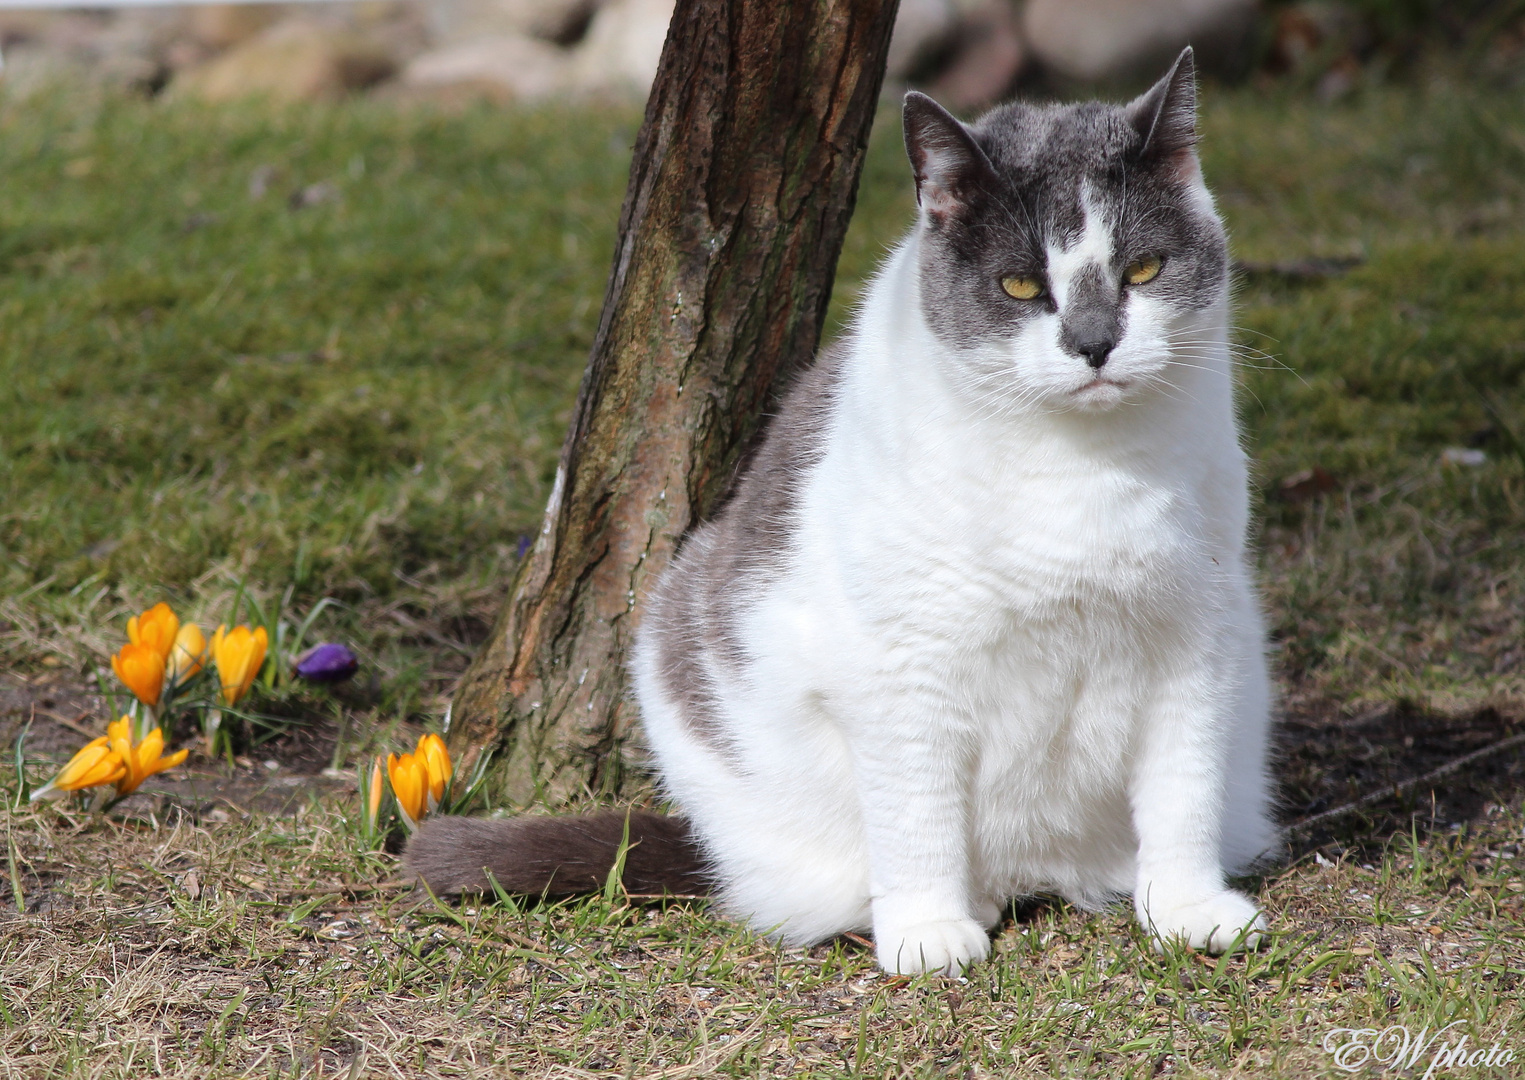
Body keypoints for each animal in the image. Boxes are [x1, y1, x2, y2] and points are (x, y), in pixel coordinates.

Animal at [405, 50, 1274, 976]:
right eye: (1019, 285)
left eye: (1142, 270)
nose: (1094, 342)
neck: (1081, 470)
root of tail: (1039, 870)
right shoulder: (903, 660)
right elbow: (916, 808)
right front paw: (928, 933)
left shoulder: (1198, 634)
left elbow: (1183, 787)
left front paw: (1187, 909)